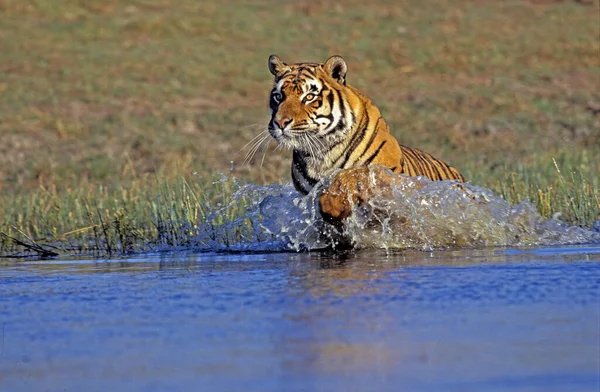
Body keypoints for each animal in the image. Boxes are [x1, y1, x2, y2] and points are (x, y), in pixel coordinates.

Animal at [264, 54, 466, 222]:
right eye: (278, 96)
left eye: (309, 97)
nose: (280, 122)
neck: (320, 153)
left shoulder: (389, 177)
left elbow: (357, 175)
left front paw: (334, 202)